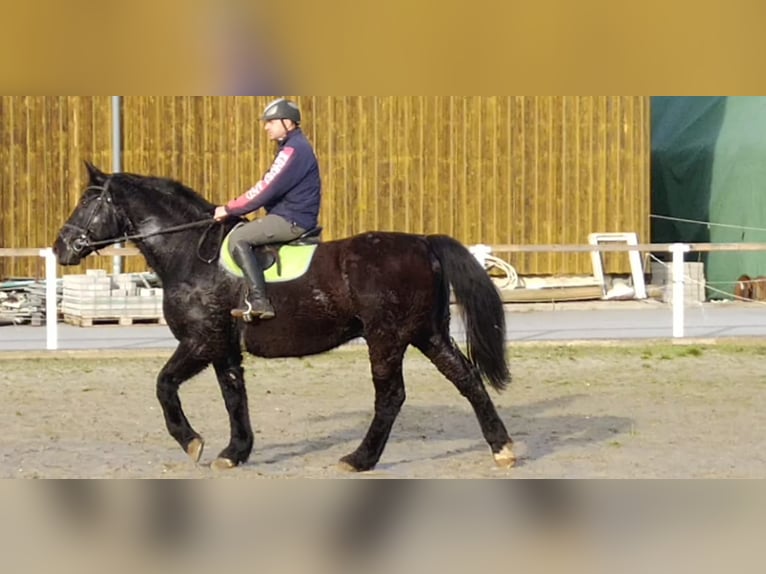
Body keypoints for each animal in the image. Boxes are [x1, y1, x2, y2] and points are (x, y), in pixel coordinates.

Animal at [54, 162, 516, 472]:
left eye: (88, 200)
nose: (60, 248)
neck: (192, 254)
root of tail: (421, 242)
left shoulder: (201, 340)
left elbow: (164, 385)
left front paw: (192, 442)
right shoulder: (223, 347)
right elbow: (234, 397)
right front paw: (235, 452)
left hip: (386, 338)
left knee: (391, 397)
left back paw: (360, 459)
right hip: (427, 333)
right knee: (467, 379)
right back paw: (502, 448)